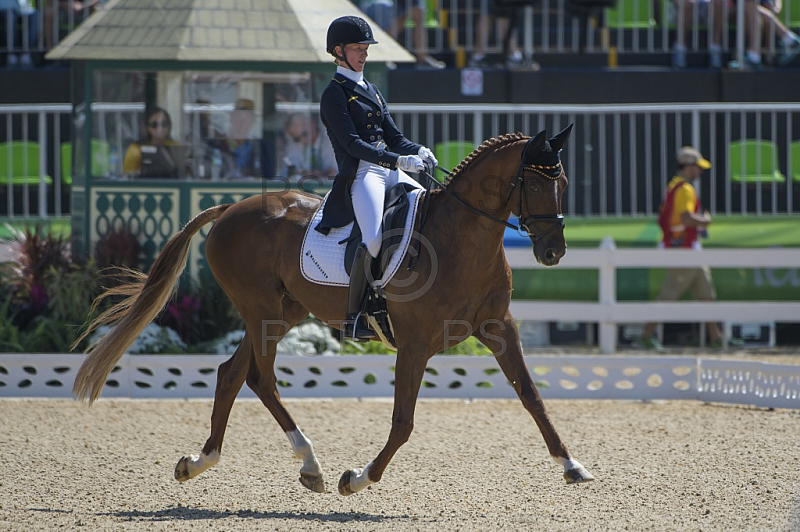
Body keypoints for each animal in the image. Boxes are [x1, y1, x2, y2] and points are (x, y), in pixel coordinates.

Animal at [73, 127, 592, 496]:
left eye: (564, 182)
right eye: (533, 183)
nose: (553, 252)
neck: (461, 240)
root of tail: (230, 209)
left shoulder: (499, 327)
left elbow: (532, 397)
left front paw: (572, 466)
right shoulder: (415, 344)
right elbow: (403, 423)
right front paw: (357, 479)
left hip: (282, 313)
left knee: (231, 373)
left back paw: (201, 462)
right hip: (262, 310)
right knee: (259, 377)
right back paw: (311, 464)